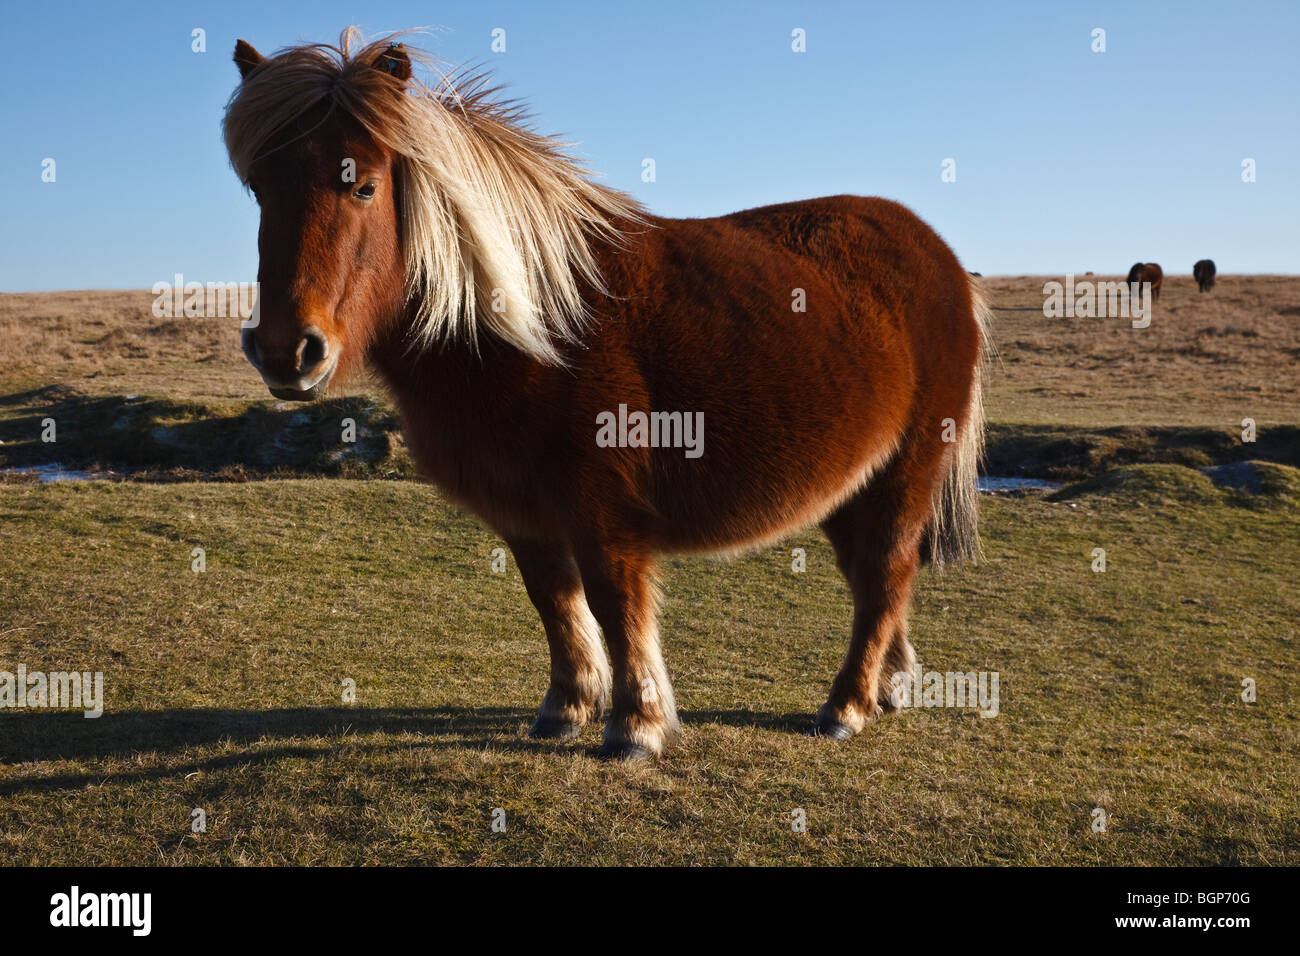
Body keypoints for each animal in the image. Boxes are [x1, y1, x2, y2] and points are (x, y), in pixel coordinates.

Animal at [226, 31, 982, 764]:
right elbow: (555, 602)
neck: (530, 326)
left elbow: (614, 604)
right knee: (873, 578)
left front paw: (634, 726)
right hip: (854, 487)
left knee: (884, 574)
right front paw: (565, 709)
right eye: (259, 188)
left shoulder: (603, 512)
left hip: (905, 473)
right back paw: (888, 687)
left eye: (364, 186)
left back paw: (846, 708)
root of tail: (942, 257)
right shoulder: (524, 512)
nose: (287, 351)